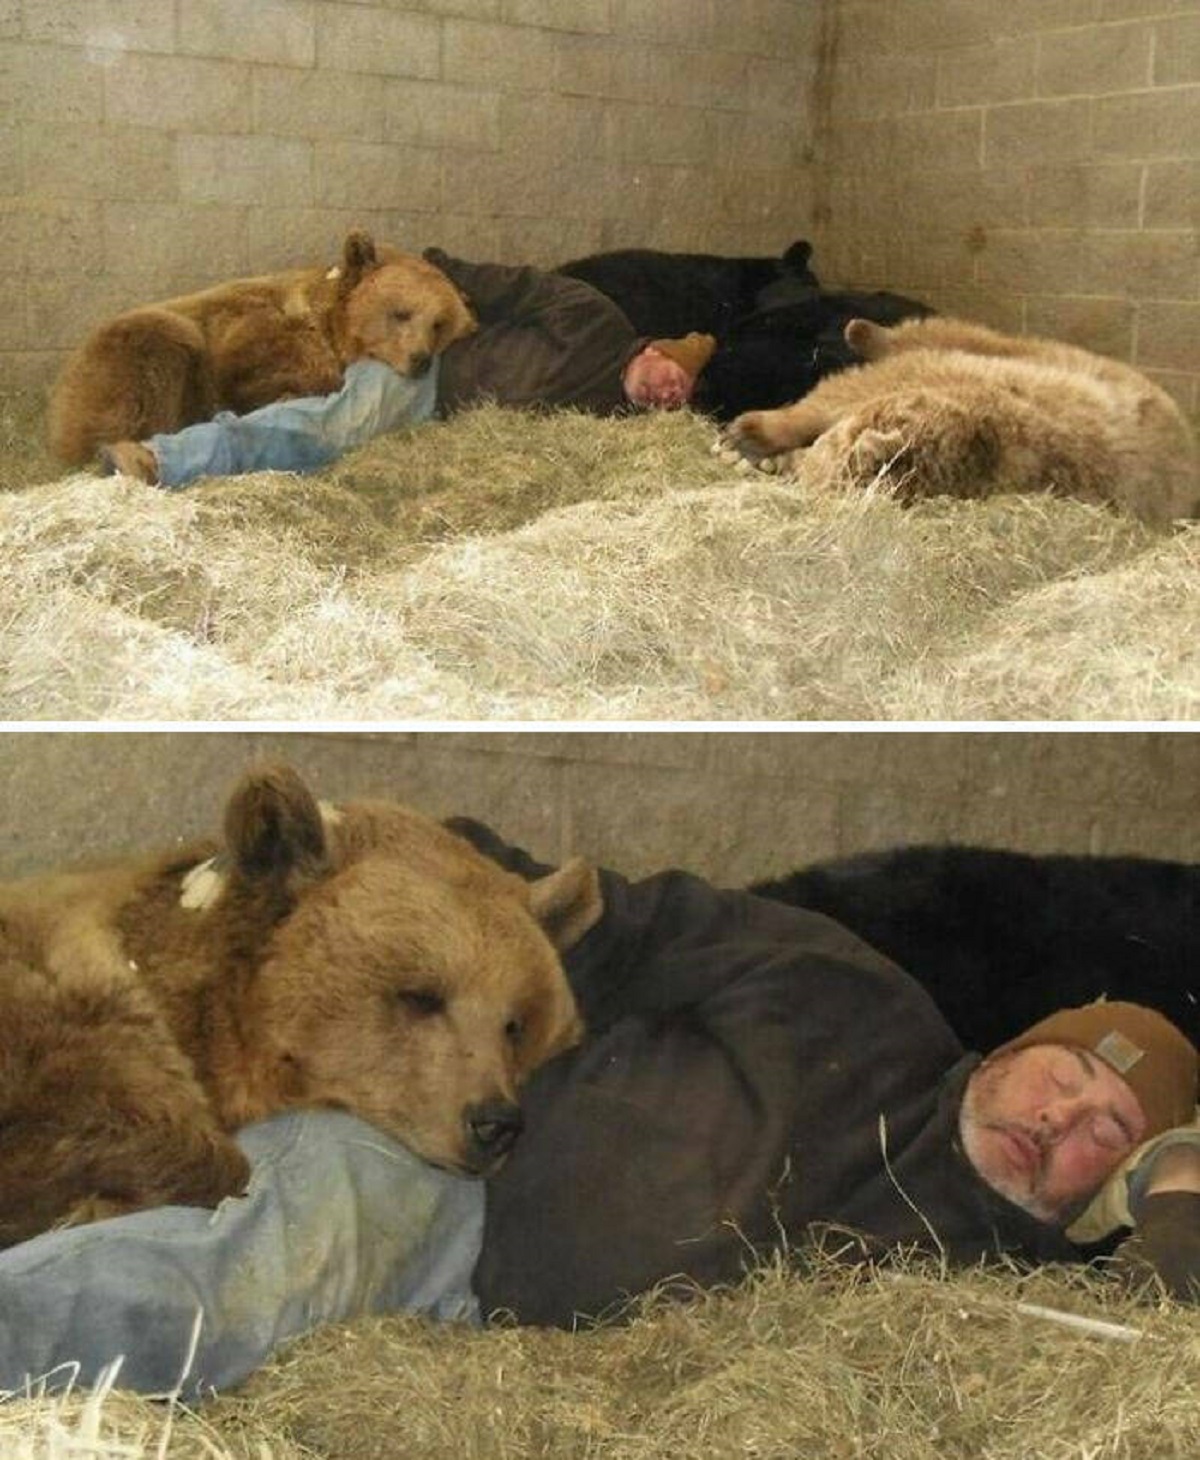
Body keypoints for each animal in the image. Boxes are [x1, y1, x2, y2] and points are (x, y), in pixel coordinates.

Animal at [47, 230, 478, 464]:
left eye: (438, 323)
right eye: (402, 313)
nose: (420, 359)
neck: (327, 326)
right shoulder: (248, 333)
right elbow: (263, 371)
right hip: (133, 350)